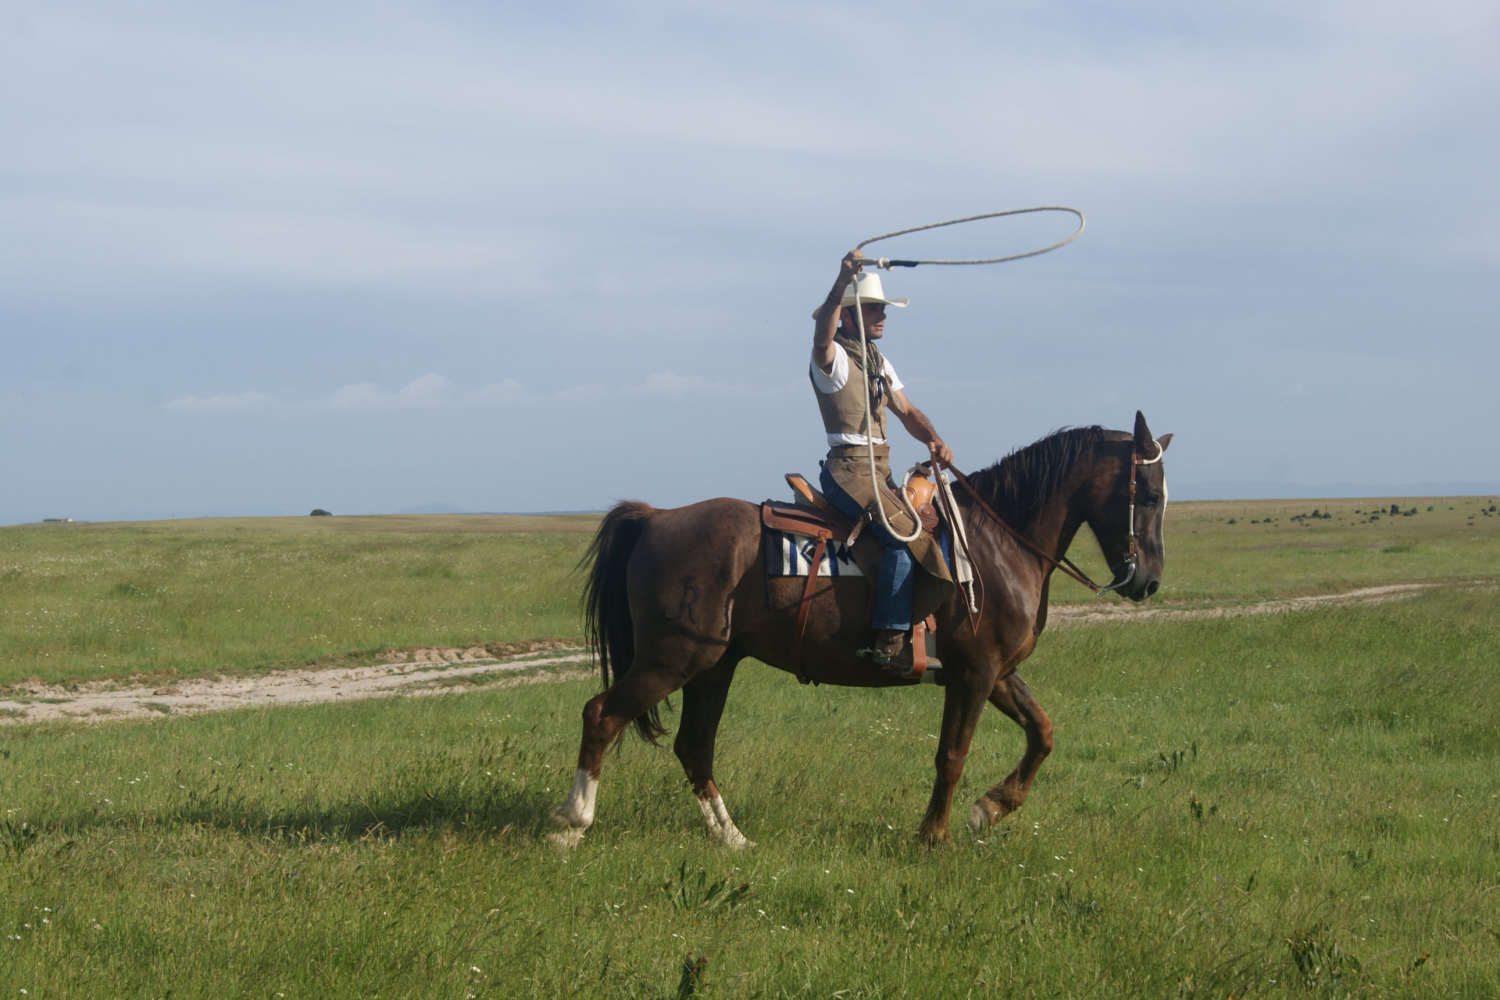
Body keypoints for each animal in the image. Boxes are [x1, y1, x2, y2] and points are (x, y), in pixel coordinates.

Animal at [552, 410, 1170, 851]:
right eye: (1150, 494)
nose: (1148, 580)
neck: (995, 544)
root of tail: (657, 518)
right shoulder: (975, 674)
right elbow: (952, 755)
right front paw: (933, 836)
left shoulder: (996, 673)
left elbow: (1042, 733)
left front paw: (989, 809)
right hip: (671, 660)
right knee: (602, 715)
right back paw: (571, 825)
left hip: (713, 666)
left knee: (694, 747)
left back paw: (732, 838)